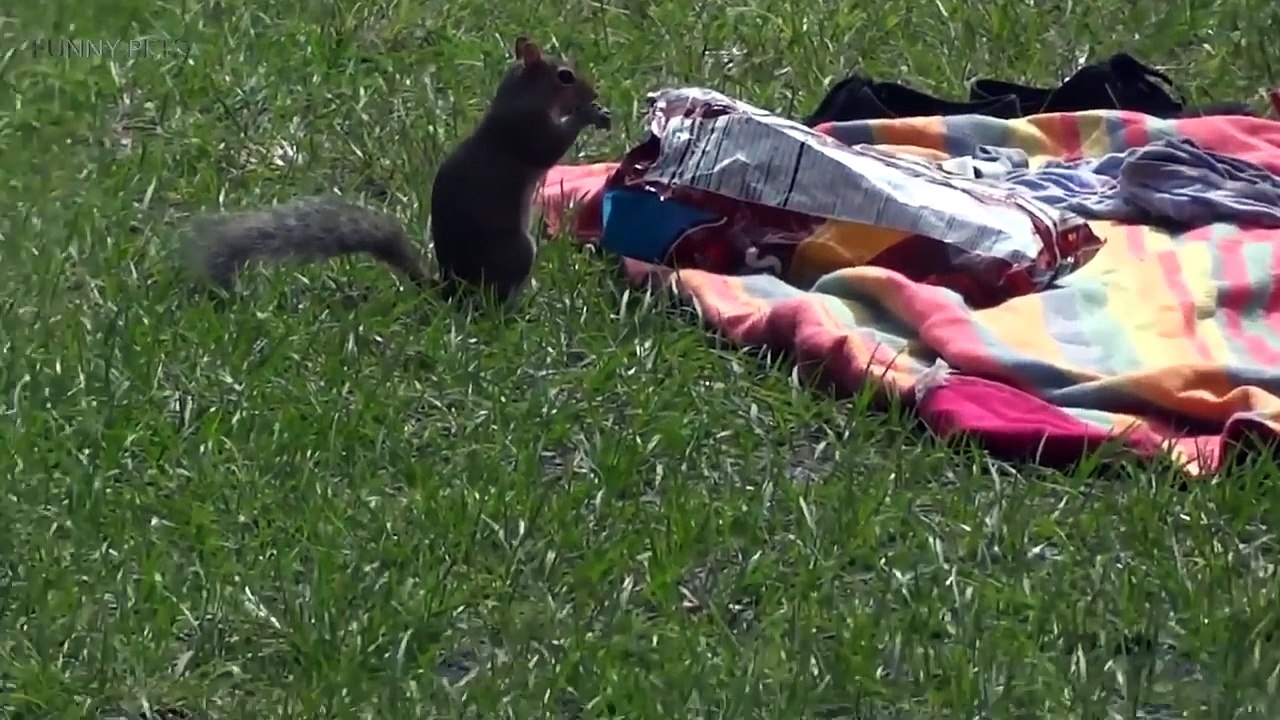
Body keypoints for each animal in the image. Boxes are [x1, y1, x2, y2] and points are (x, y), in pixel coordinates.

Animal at [183, 36, 611, 305]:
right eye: (565, 76)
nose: (594, 93)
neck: (520, 94)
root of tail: (451, 289)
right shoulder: (524, 130)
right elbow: (549, 145)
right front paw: (589, 115)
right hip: (518, 251)